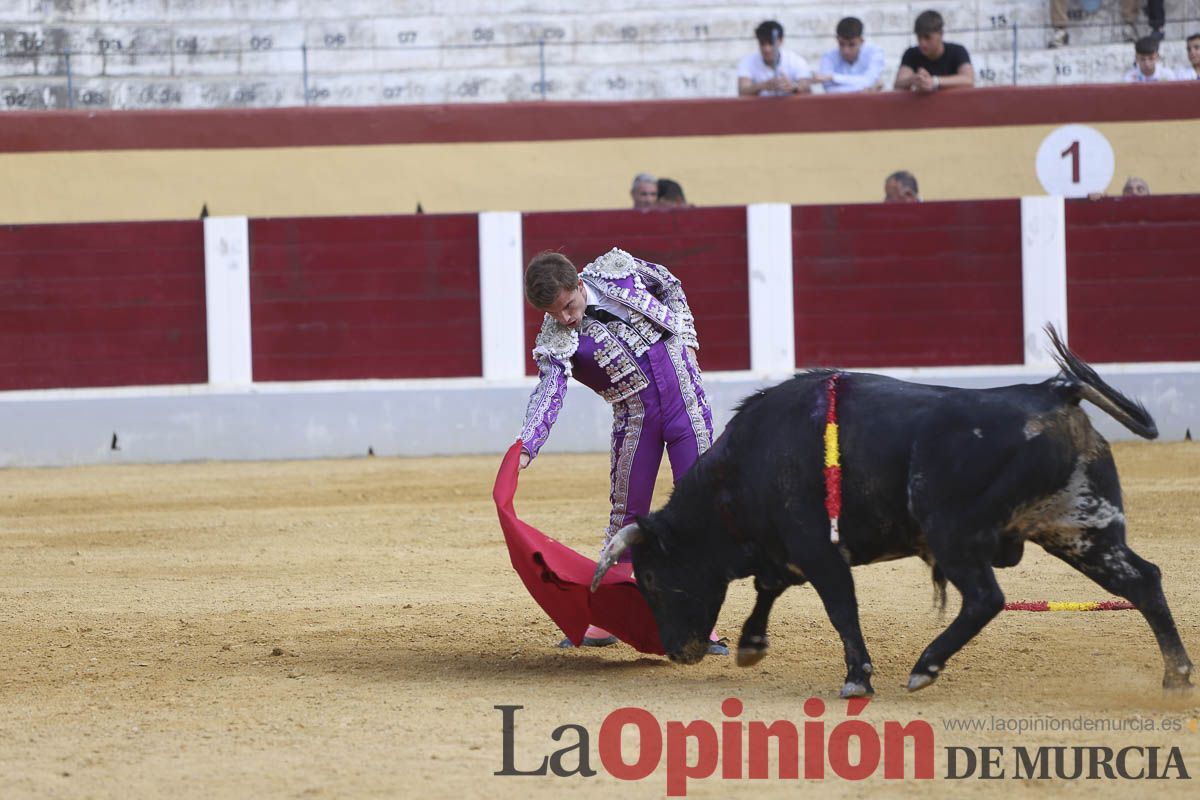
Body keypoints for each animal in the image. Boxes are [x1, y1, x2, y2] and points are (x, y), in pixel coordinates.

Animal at [590, 328, 1190, 695]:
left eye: (652, 578)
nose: (679, 651)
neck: (740, 473)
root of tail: (1053, 390)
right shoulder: (788, 550)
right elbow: (768, 589)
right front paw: (751, 647)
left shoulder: (820, 551)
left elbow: (839, 608)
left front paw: (857, 677)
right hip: (1081, 526)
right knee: (1143, 580)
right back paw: (1177, 676)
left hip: (954, 531)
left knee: (986, 598)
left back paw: (925, 667)